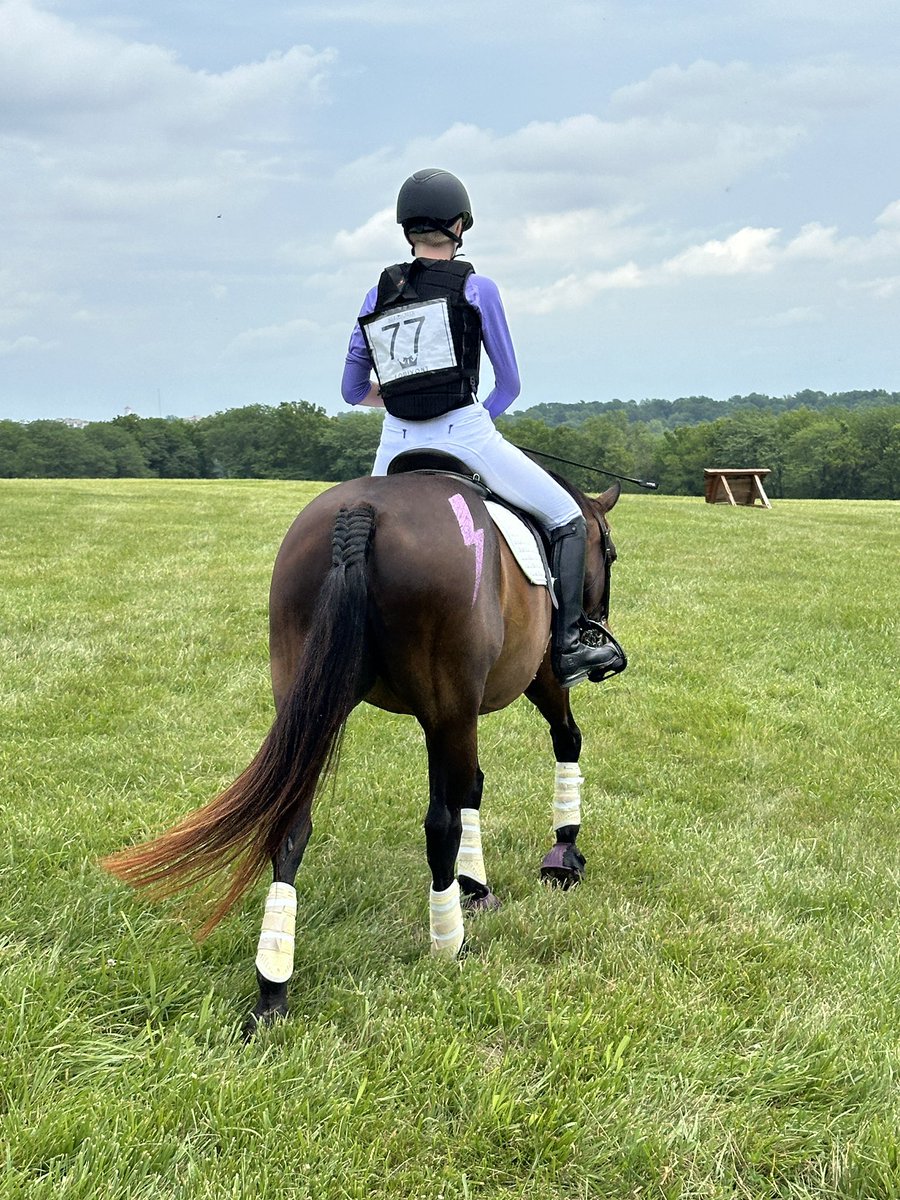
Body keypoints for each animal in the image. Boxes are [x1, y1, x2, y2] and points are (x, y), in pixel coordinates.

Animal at [102, 460, 624, 1035]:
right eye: (610, 555)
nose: (598, 627)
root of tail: (361, 511)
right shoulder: (529, 682)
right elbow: (559, 744)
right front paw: (562, 854)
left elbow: (472, 786)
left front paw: (477, 885)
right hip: (451, 702)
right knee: (441, 821)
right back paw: (449, 944)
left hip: (312, 696)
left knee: (291, 825)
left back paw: (273, 990)